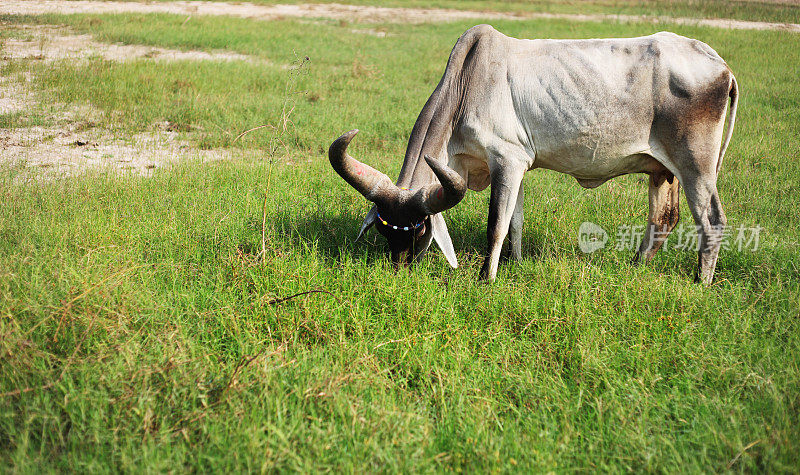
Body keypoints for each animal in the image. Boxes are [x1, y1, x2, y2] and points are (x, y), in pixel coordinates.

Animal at [328, 24, 740, 284]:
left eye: (418, 228)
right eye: (384, 227)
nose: (398, 269)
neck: (467, 84)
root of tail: (721, 65)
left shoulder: (506, 160)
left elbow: (496, 225)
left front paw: (485, 279)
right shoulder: (515, 167)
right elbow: (515, 222)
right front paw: (514, 263)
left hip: (696, 167)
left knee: (711, 221)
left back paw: (700, 283)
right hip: (663, 171)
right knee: (663, 219)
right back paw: (635, 267)